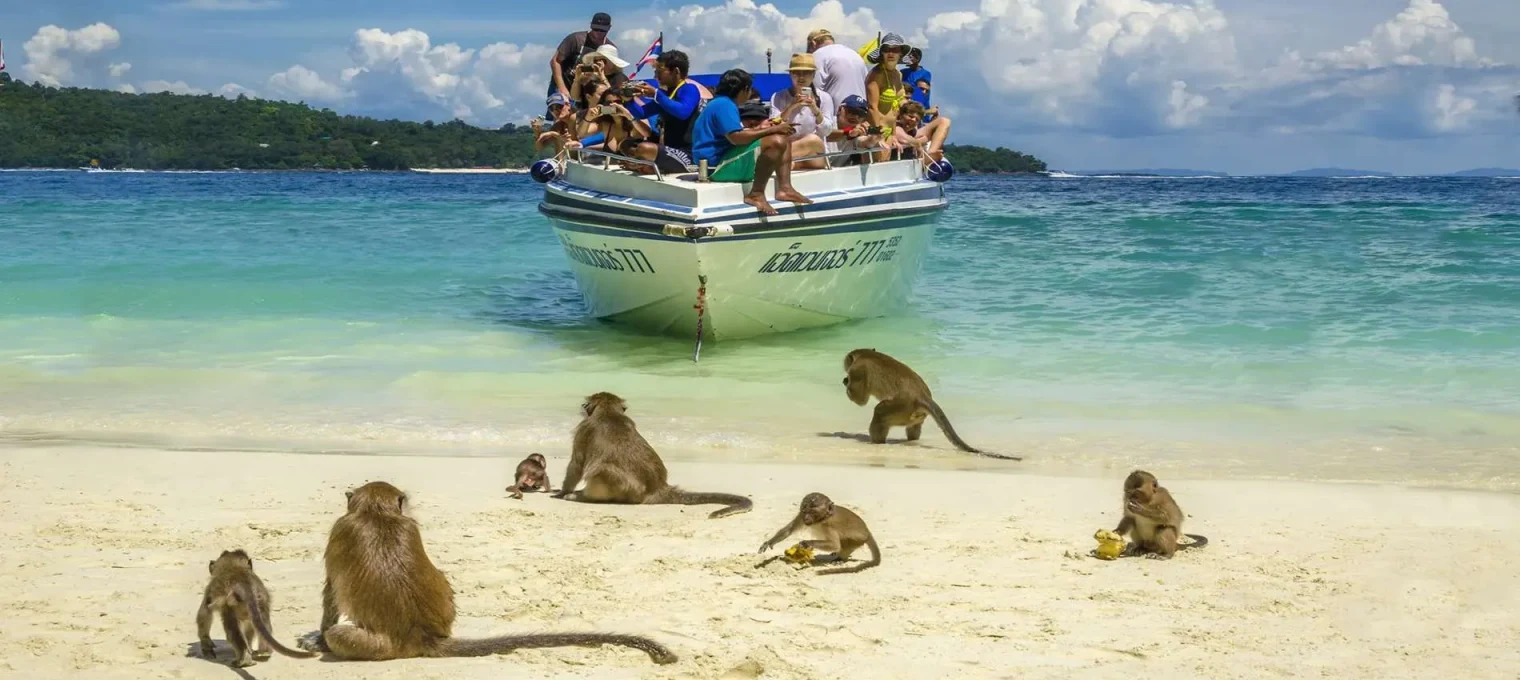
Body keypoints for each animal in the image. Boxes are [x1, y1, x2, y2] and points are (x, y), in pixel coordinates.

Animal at [301, 481, 677, 664]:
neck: (376, 512)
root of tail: (421, 637)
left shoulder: (339, 530)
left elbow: (331, 595)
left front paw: (317, 638)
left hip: (376, 646)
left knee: (340, 633)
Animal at [555, 392, 752, 519]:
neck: (608, 412)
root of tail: (658, 487)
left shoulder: (582, 430)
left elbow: (576, 465)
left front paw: (563, 492)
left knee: (599, 470)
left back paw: (582, 496)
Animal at [841, 348, 1021, 461]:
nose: (845, 366)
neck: (865, 353)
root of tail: (922, 396)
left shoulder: (857, 371)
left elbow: (860, 400)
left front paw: (846, 383)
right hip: (913, 413)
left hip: (899, 406)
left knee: (879, 411)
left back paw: (874, 442)